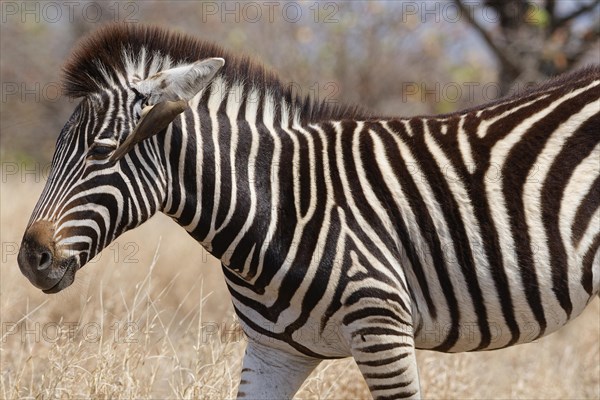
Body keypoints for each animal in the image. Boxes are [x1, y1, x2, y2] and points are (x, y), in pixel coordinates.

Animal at [16, 24, 596, 396]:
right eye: (55, 149)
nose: (29, 259)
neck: (277, 203)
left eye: (101, 152)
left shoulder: (383, 330)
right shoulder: (274, 353)